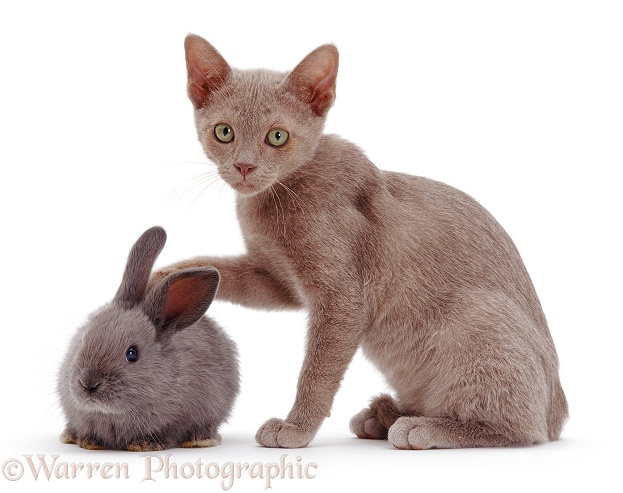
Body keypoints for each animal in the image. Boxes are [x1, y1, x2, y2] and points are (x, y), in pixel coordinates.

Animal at [150, 35, 564, 450]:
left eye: (277, 136)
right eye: (224, 132)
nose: (245, 166)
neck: (274, 202)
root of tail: (558, 413)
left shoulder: (342, 299)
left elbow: (317, 373)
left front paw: (296, 428)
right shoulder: (279, 280)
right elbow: (223, 270)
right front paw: (166, 277)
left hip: (478, 314)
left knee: (520, 429)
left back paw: (422, 427)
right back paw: (383, 415)